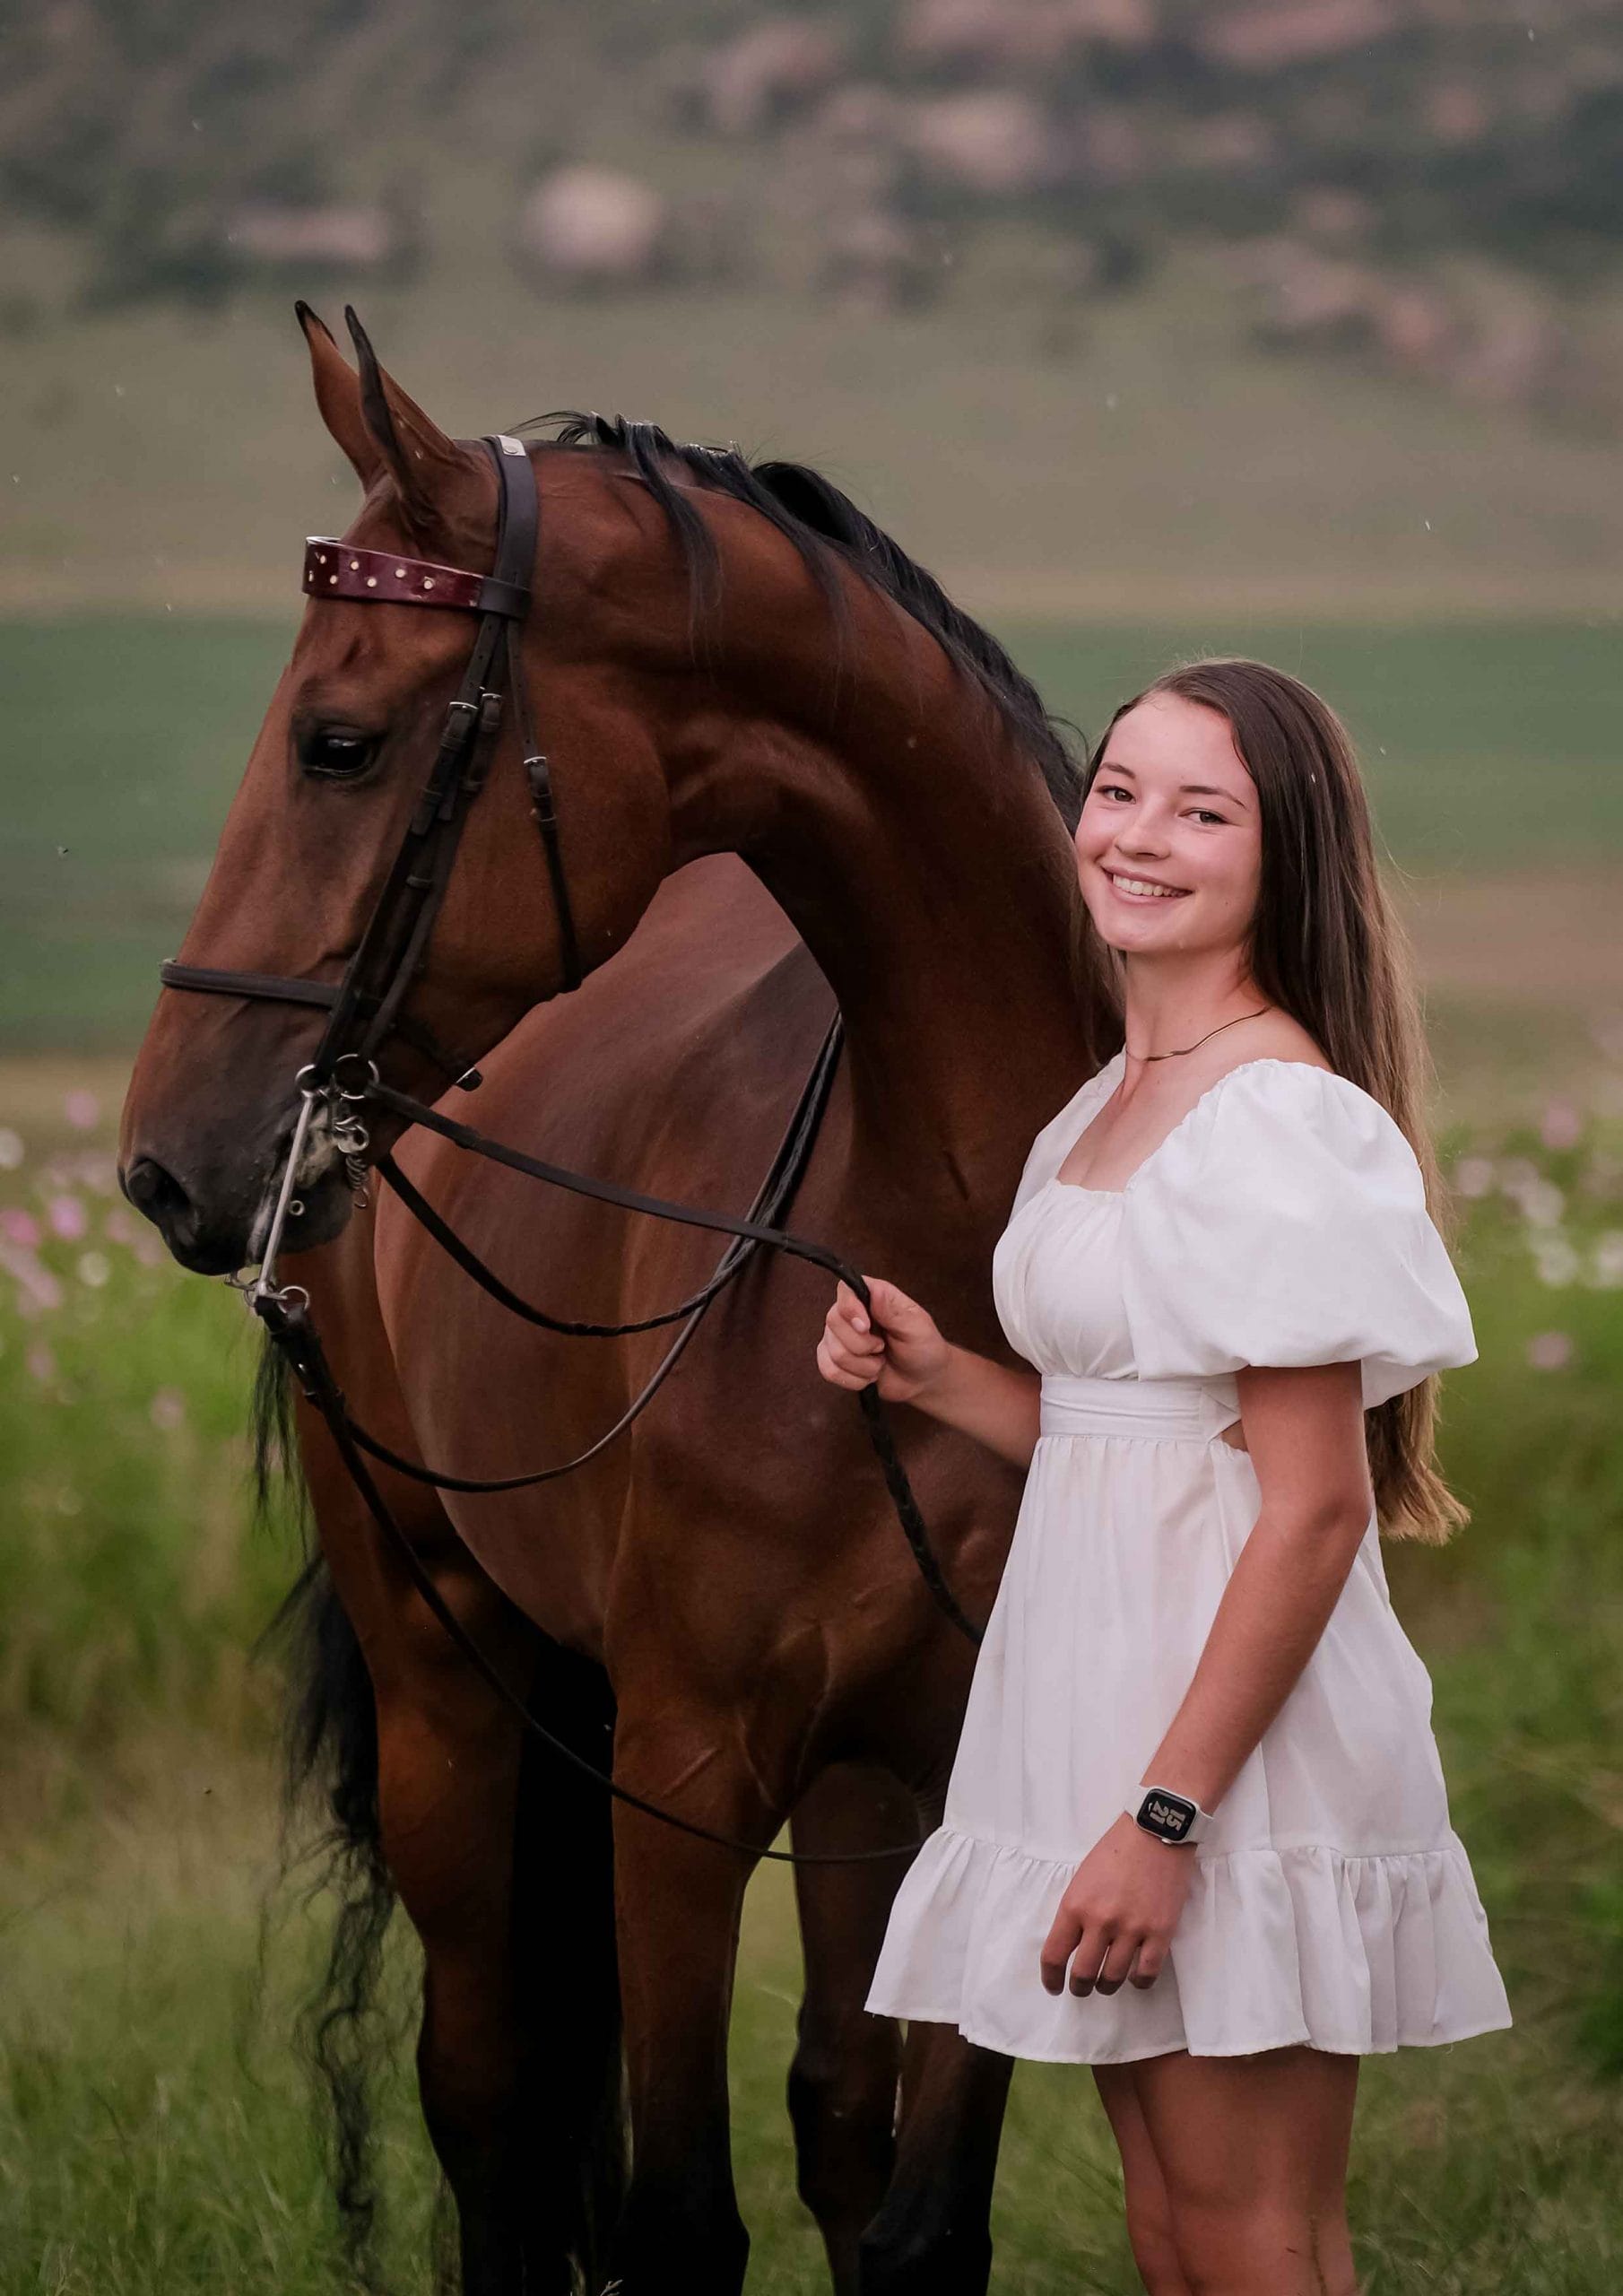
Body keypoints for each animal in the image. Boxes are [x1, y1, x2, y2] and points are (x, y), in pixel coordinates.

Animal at [118, 304, 1116, 2294]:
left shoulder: (980, 1783)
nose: (167, 1157)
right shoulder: (681, 1779)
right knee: (486, 2093)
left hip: (846, 1783)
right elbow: (672, 2216)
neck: (938, 1255)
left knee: (826, 2104)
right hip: (451, 1681)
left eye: (338, 741)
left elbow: (915, 2215)